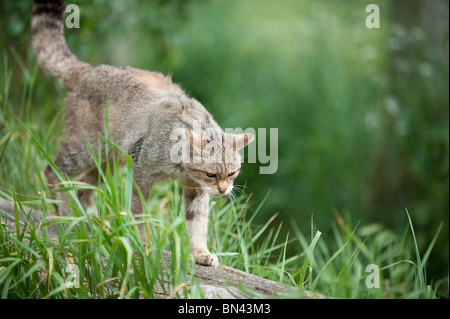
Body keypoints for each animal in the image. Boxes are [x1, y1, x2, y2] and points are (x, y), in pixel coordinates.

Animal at [31, 0, 253, 268]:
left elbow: (197, 224)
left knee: (84, 189)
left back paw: (94, 223)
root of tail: (90, 70)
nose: (223, 190)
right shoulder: (141, 176)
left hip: (109, 161)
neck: (181, 168)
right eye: (212, 174)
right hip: (86, 148)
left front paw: (201, 253)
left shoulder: (196, 190)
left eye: (232, 173)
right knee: (52, 170)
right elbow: (140, 215)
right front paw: (143, 246)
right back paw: (63, 211)